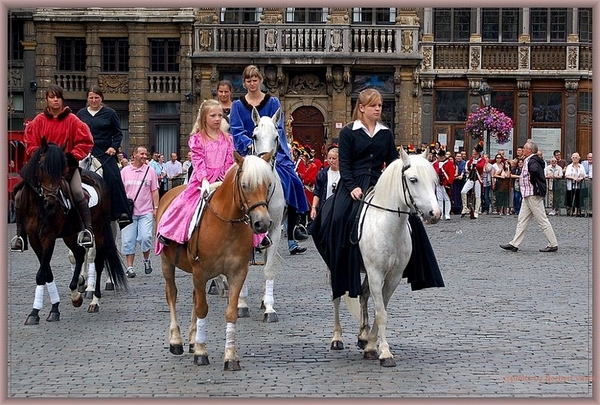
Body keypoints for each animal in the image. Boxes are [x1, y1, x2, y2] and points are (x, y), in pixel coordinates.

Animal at [15, 137, 127, 324]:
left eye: (60, 168)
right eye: (42, 167)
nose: (51, 201)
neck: (40, 206)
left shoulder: (49, 237)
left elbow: (43, 272)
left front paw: (42, 311)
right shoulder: (35, 239)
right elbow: (48, 271)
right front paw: (45, 309)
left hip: (102, 228)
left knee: (100, 259)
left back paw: (95, 298)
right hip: (71, 233)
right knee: (80, 255)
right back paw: (77, 291)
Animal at [157, 149, 274, 370]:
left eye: (268, 184)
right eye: (245, 185)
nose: (262, 223)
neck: (228, 225)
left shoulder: (238, 273)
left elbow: (230, 312)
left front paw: (230, 356)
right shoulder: (200, 271)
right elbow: (202, 308)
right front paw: (201, 352)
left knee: (194, 297)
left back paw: (193, 339)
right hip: (167, 263)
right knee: (172, 295)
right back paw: (176, 341)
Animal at [330, 146, 442, 366]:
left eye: (434, 180)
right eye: (413, 179)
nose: (435, 213)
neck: (389, 227)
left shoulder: (393, 276)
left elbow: (381, 309)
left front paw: (372, 345)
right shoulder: (375, 273)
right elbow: (380, 312)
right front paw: (385, 353)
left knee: (363, 295)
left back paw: (362, 336)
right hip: (334, 267)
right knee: (336, 296)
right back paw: (337, 337)